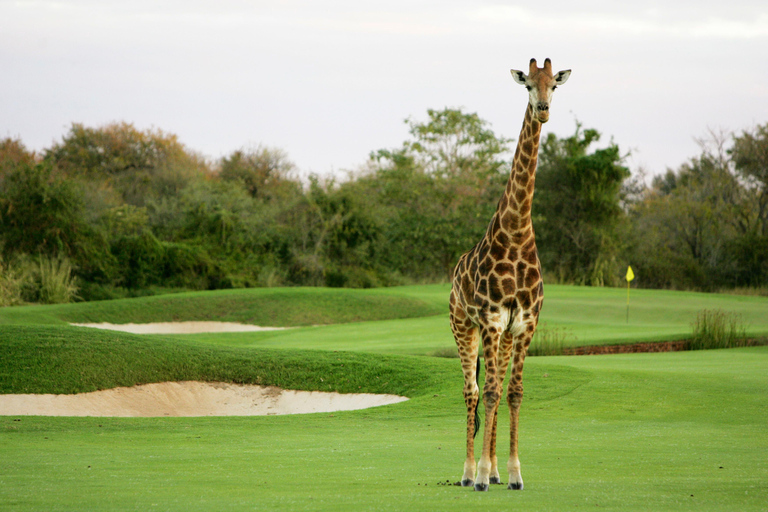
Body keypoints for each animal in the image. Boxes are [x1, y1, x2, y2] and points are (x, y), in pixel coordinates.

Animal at [448, 58, 568, 490]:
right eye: (528, 85)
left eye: (555, 85)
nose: (544, 110)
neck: (516, 233)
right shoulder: (492, 319)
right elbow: (490, 392)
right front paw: (481, 475)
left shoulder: (524, 323)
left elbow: (513, 391)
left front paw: (514, 472)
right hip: (463, 325)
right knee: (472, 391)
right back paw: (469, 472)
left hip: (497, 335)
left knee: (495, 388)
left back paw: (495, 469)